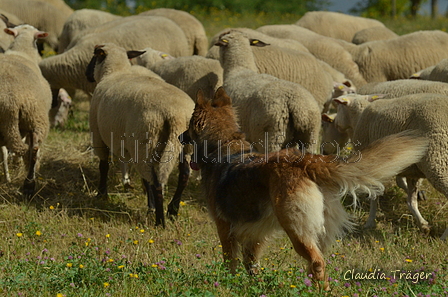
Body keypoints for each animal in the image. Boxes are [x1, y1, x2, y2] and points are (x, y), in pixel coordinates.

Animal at [0, 24, 52, 195]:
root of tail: (11, 101)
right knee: (33, 149)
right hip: (36, 118)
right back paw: (29, 184)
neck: (21, 51)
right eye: (36, 42)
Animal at [86, 42, 194, 227]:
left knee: (156, 181)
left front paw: (102, 194)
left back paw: (160, 222)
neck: (115, 72)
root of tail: (177, 115)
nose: (87, 74)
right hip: (184, 145)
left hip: (146, 140)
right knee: (184, 175)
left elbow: (104, 165)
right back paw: (172, 211)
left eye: (94, 56)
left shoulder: (99, 134)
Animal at [180, 86, 428, 290]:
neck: (223, 145)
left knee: (317, 262)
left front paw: (228, 284)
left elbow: (229, 263)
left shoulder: (224, 229)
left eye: (189, 125)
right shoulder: (254, 234)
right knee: (318, 263)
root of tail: (304, 161)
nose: (181, 136)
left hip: (296, 229)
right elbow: (251, 264)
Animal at [332, 93, 448, 239]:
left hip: (438, 159)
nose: (335, 123)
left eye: (339, 107)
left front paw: (370, 222)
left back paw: (444, 238)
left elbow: (374, 196)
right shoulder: (412, 173)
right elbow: (411, 202)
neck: (358, 118)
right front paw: (423, 225)